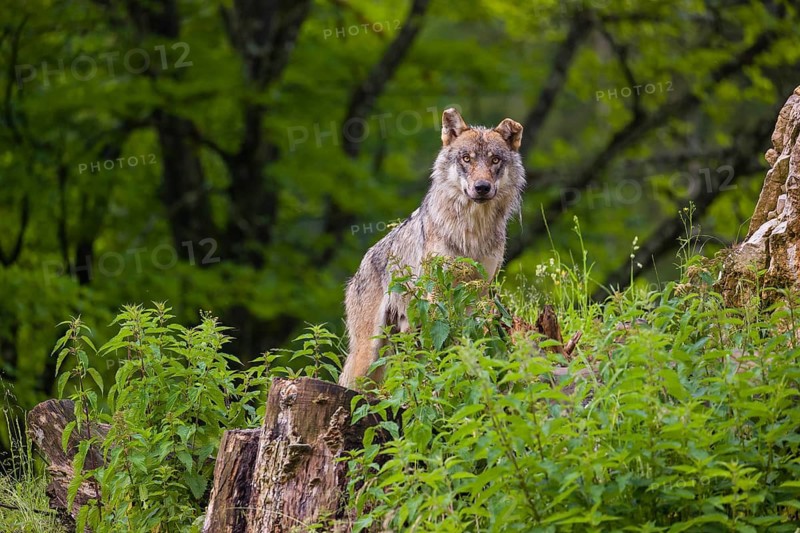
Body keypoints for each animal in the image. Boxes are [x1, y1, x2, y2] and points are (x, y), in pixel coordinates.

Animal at [338, 108, 526, 389]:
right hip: (368, 353)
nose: (482, 187)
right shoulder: (436, 290)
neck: (472, 230)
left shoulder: (479, 291)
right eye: (466, 159)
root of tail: (360, 267)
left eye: (495, 160)